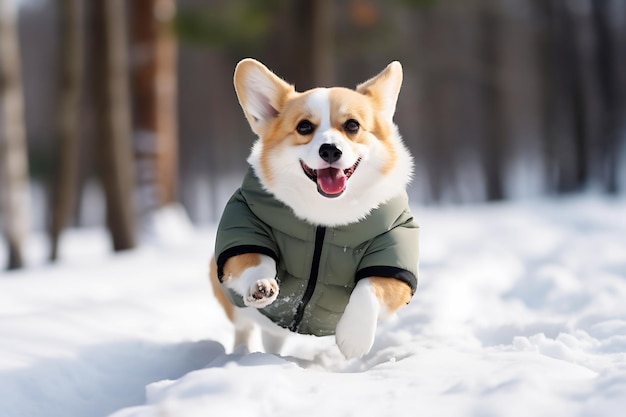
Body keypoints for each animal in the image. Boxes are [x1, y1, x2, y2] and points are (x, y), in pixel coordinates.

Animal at [210, 57, 420, 358]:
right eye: (304, 127)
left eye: (352, 125)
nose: (330, 150)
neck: (325, 215)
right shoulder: (243, 232)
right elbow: (255, 260)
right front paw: (261, 286)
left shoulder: (395, 259)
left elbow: (371, 287)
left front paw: (353, 338)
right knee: (246, 328)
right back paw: (243, 353)